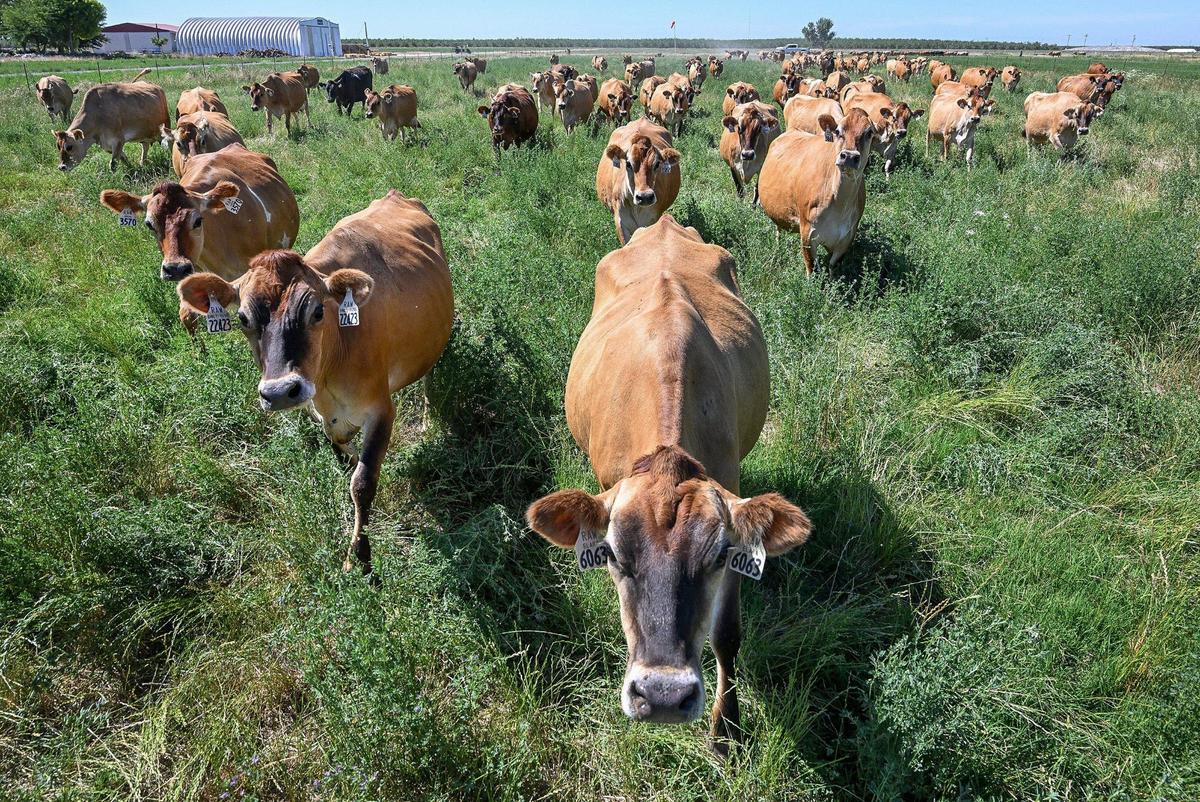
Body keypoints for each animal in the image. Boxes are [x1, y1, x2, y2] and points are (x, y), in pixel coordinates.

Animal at [175, 190, 453, 578]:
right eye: (243, 318)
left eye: (318, 311)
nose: (280, 392)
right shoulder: (325, 417)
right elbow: (345, 460)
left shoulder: (381, 409)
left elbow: (362, 482)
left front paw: (360, 557)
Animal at [759, 107, 877, 274]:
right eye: (838, 131)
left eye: (869, 132)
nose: (849, 156)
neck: (840, 204)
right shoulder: (807, 233)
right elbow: (812, 268)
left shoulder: (846, 238)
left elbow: (833, 268)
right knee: (778, 228)